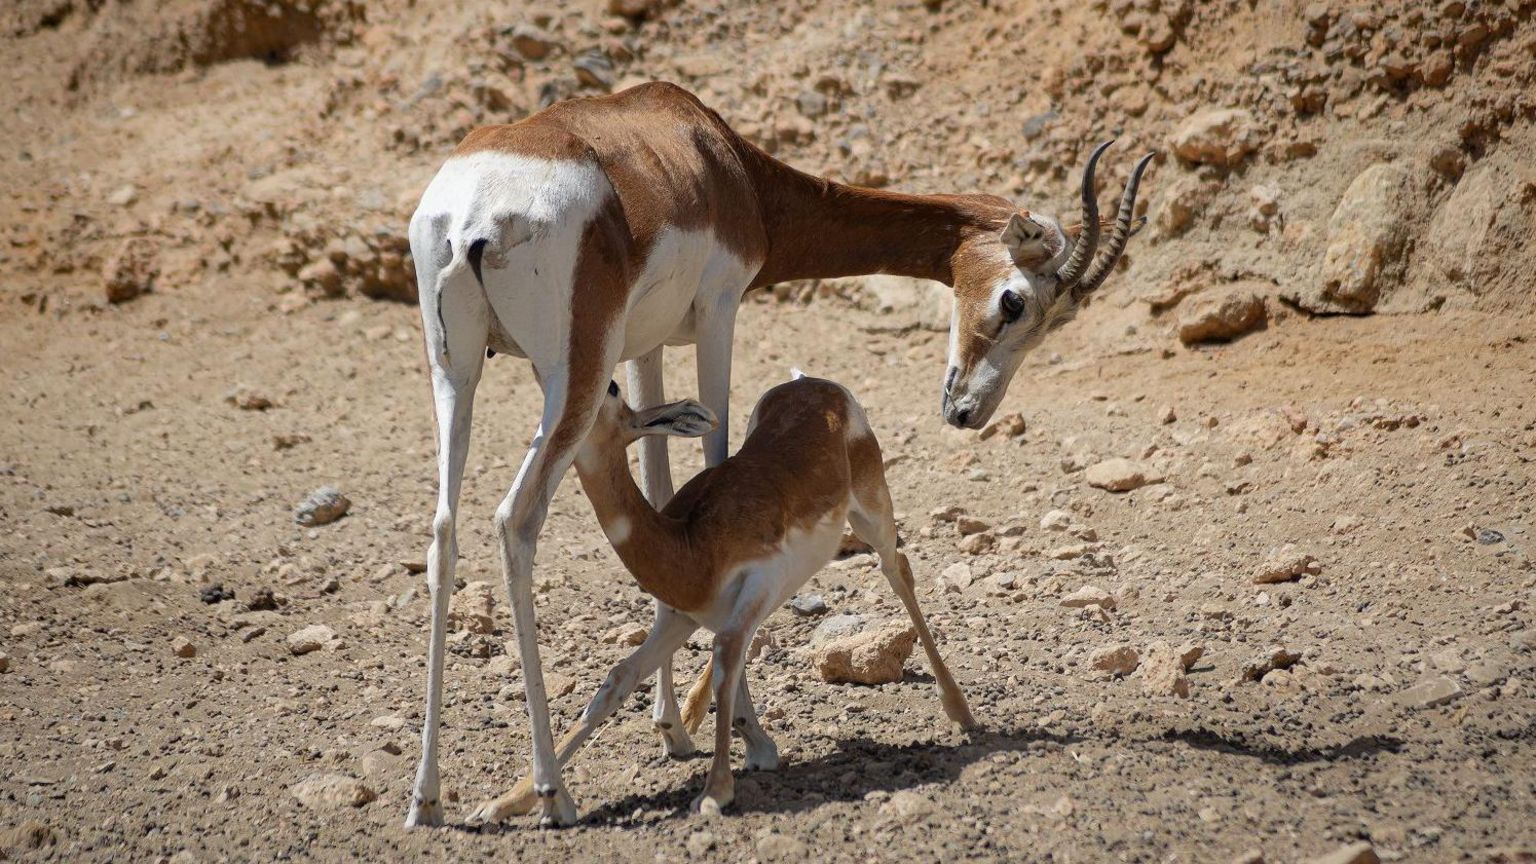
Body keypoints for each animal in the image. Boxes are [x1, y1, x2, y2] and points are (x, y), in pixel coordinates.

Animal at [466, 373, 970, 817]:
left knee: (897, 569)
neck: (689, 545)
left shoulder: (750, 590)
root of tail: (815, 385)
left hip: (872, 513)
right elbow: (618, 679)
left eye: (610, 388)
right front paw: (507, 802)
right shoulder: (679, 617)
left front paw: (715, 792)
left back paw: (960, 711)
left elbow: (726, 658)